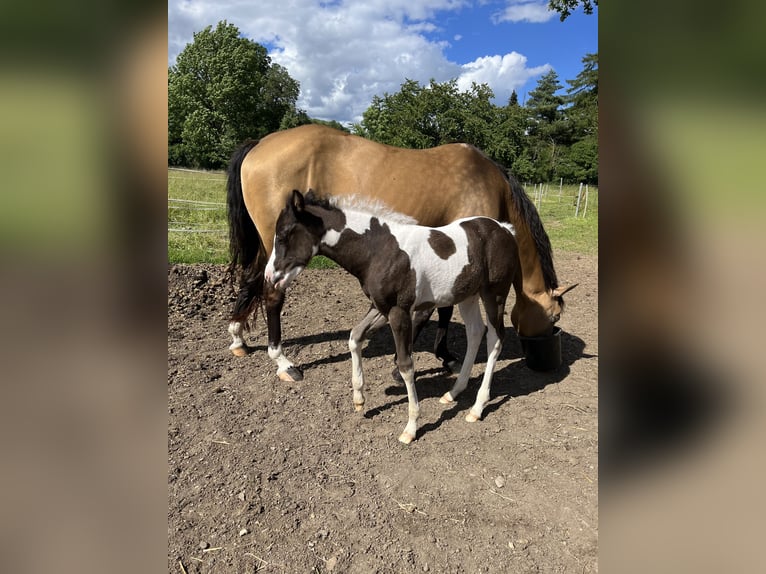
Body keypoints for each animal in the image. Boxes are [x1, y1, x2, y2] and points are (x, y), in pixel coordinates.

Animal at [225, 124, 572, 382]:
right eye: (554, 316)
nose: (547, 358)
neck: (488, 182)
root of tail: (260, 143)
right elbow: (435, 310)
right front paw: (413, 362)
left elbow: (443, 308)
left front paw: (444, 356)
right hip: (277, 249)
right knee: (272, 294)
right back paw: (283, 363)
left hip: (267, 248)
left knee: (251, 279)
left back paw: (238, 338)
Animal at [264, 191, 520, 444]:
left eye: (284, 235)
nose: (269, 276)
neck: (379, 250)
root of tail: (505, 229)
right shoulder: (379, 307)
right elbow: (354, 336)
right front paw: (359, 398)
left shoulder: (399, 312)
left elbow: (405, 365)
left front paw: (411, 428)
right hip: (467, 296)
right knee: (475, 332)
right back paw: (453, 392)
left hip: (494, 294)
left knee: (495, 339)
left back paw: (477, 408)